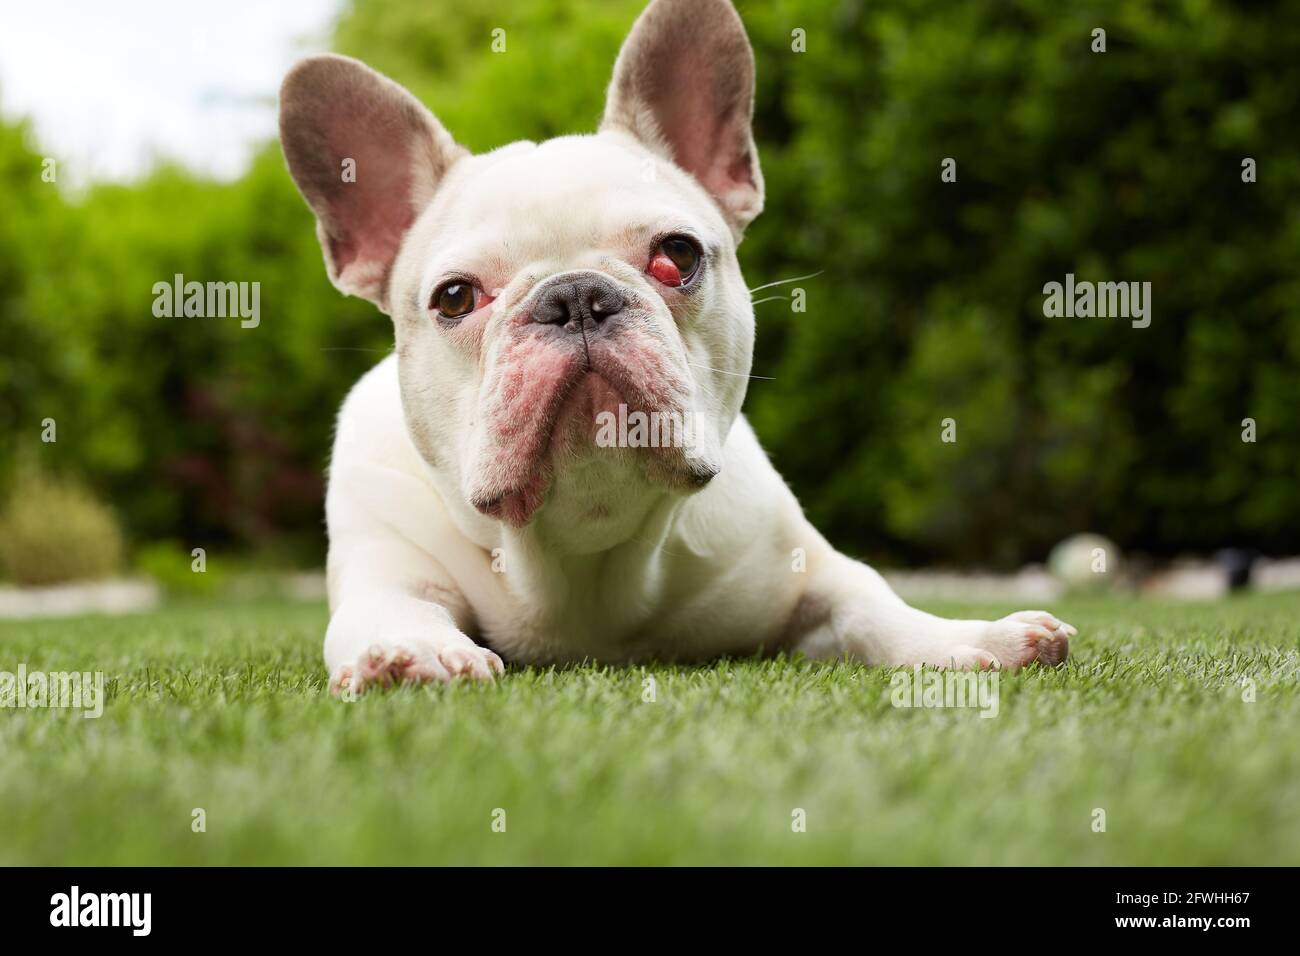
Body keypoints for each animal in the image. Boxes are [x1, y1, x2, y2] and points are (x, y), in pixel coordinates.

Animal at [276, 0, 1076, 691]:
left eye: (678, 255)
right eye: (454, 298)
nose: (575, 296)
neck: (586, 554)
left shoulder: (803, 567)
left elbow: (872, 600)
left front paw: (965, 638)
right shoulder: (390, 560)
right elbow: (390, 605)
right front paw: (410, 651)